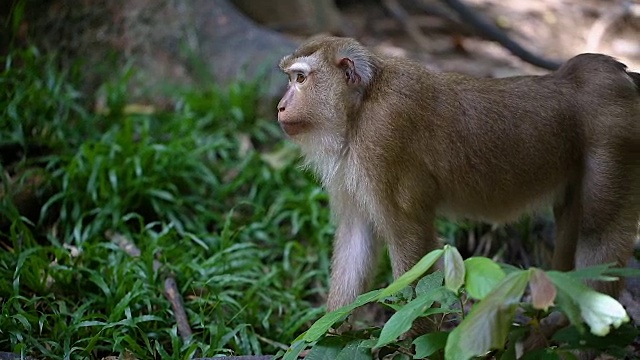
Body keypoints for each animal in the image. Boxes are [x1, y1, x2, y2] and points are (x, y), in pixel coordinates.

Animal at [278, 36, 640, 324]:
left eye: (300, 78)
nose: (280, 106)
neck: (360, 108)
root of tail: (615, 75)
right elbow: (357, 237)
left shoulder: (383, 139)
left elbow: (412, 241)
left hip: (614, 137)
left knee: (599, 232)